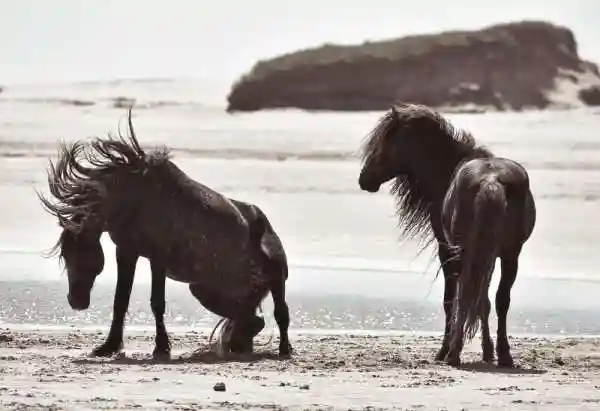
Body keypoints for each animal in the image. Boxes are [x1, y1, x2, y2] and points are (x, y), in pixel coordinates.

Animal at [36, 109, 292, 360]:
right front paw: (108, 346)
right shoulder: (126, 251)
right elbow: (120, 300)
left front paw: (161, 348)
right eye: (65, 256)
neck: (132, 199)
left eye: (80, 254)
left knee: (280, 313)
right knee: (250, 318)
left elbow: (157, 302)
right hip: (204, 289)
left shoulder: (158, 256)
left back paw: (284, 349)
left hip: (275, 275)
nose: (75, 301)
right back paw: (238, 345)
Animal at [358, 102, 536, 366]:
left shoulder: (447, 249)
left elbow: (451, 300)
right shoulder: (488, 255)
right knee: (500, 299)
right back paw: (503, 355)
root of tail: (491, 181)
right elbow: (483, 300)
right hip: (509, 254)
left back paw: (453, 352)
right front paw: (487, 351)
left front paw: (444, 350)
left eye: (385, 141)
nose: (364, 179)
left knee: (463, 297)